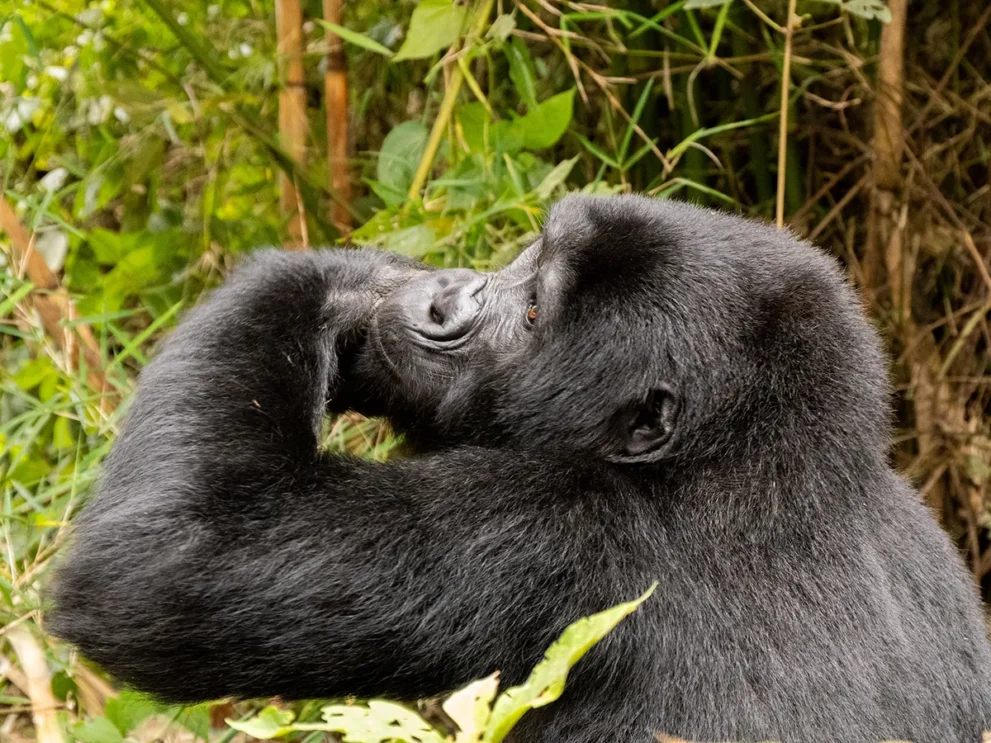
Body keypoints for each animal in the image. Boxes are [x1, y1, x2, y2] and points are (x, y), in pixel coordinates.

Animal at [52, 195, 991, 740]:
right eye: (523, 262)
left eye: (534, 311)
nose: (443, 298)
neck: (754, 461)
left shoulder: (559, 531)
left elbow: (172, 565)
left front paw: (347, 286)